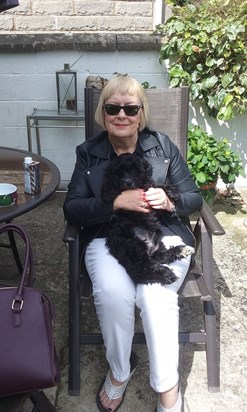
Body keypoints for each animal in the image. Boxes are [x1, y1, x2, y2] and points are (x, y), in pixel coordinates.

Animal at [101, 153, 193, 284]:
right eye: (119, 172)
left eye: (136, 170)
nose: (128, 182)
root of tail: (149, 249)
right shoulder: (110, 191)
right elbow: (110, 190)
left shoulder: (147, 187)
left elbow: (155, 186)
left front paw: (172, 192)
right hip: (131, 245)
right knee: (142, 270)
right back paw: (167, 274)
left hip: (155, 245)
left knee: (161, 256)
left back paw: (181, 250)